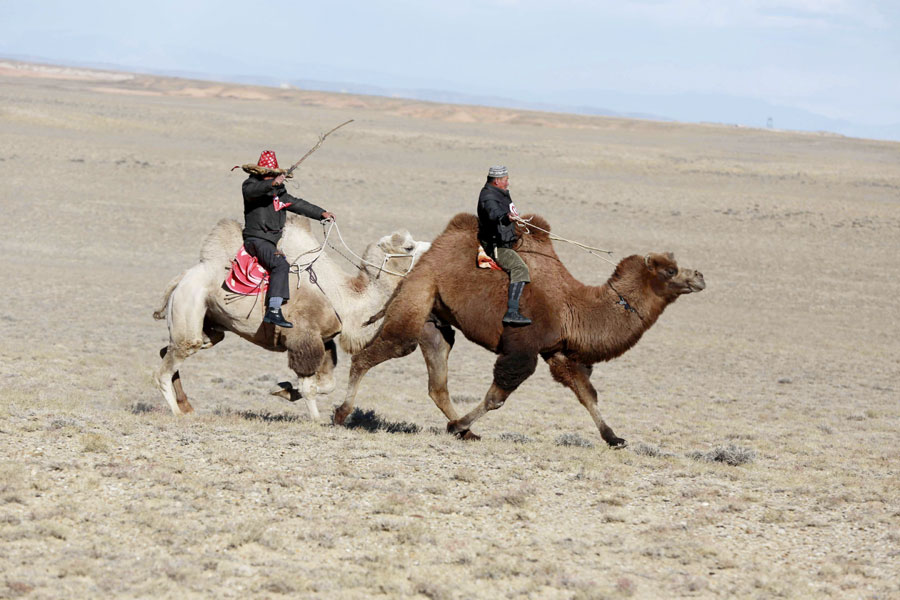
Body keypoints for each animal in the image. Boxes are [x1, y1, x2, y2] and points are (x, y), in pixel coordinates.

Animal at [152, 214, 428, 418]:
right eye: (408, 246)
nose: (432, 247)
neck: (343, 299)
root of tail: (182, 278)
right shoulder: (304, 339)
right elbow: (309, 387)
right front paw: (316, 419)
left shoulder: (325, 340)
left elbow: (326, 383)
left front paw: (283, 390)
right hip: (190, 305)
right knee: (169, 364)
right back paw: (177, 412)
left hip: (210, 325)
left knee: (171, 350)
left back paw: (187, 405)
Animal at [334, 214, 708, 446]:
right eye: (670, 271)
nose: (700, 276)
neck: (572, 306)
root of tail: (423, 261)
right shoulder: (523, 346)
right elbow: (498, 395)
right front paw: (459, 425)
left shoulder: (558, 351)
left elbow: (586, 392)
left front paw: (614, 437)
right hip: (417, 299)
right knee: (374, 354)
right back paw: (341, 414)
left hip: (434, 320)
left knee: (437, 381)